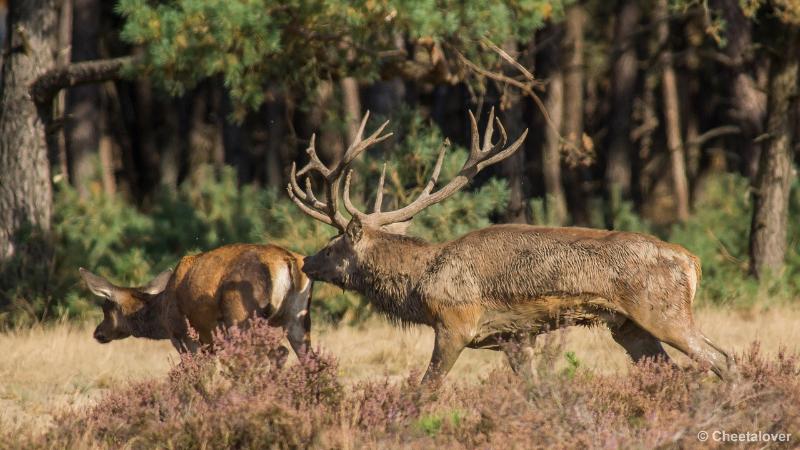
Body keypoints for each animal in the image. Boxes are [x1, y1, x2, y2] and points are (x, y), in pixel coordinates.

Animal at [79, 243, 312, 358]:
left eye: (105, 308)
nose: (98, 332)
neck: (162, 313)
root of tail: (287, 261)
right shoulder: (211, 343)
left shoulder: (182, 335)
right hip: (298, 317)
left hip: (242, 317)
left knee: (273, 353)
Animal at [288, 110, 736, 384]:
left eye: (332, 245)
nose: (306, 261)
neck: (419, 284)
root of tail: (692, 261)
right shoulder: (514, 337)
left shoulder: (455, 323)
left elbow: (425, 388)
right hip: (627, 326)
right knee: (673, 371)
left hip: (663, 310)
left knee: (722, 359)